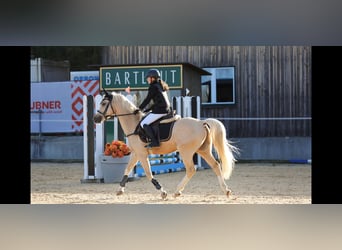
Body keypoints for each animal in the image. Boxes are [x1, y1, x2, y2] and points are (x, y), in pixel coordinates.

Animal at [92, 91, 239, 199]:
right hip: (203, 150)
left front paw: (162, 192)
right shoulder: (136, 153)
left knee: (191, 169)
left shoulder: (142, 154)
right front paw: (120, 189)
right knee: (215, 165)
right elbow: (127, 170)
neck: (134, 123)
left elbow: (148, 173)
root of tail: (201, 123)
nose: (95, 119)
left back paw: (177, 191)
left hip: (186, 152)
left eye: (103, 103)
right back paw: (226, 190)